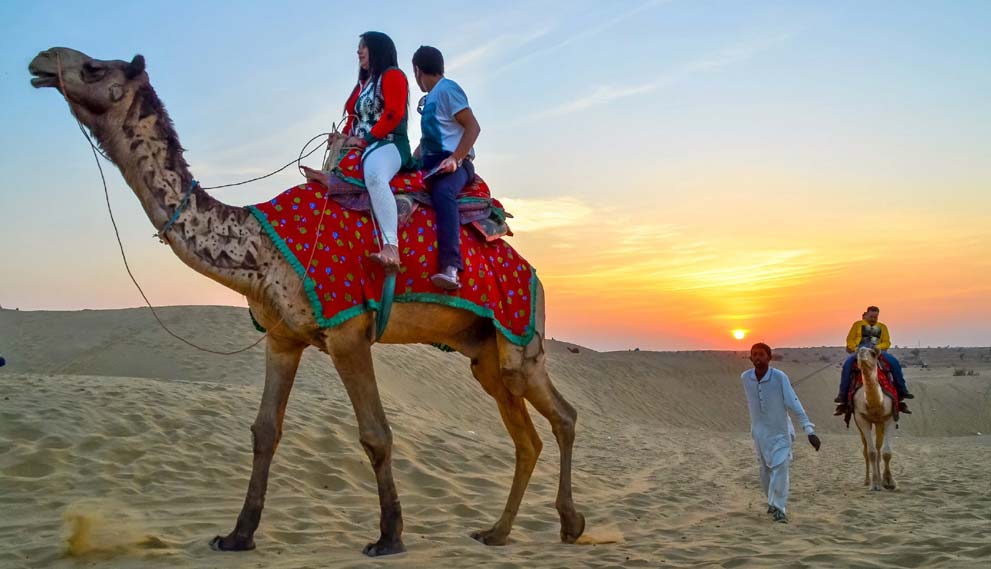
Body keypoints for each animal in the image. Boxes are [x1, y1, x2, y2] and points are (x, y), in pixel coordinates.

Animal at [31, 47, 584, 556]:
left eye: (95, 68)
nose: (40, 60)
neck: (260, 247)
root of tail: (533, 273)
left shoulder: (347, 331)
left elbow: (375, 434)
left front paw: (389, 537)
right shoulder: (282, 338)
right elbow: (264, 431)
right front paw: (237, 535)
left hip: (519, 338)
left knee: (562, 416)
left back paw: (570, 524)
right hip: (484, 351)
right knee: (528, 436)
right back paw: (498, 531)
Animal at [848, 344, 896, 490]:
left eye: (873, 353)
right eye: (857, 352)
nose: (862, 353)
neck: (875, 404)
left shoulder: (890, 417)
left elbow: (886, 452)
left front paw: (889, 482)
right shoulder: (862, 419)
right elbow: (871, 453)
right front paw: (874, 484)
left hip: (880, 423)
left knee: (879, 448)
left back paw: (881, 480)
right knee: (866, 450)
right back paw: (867, 481)